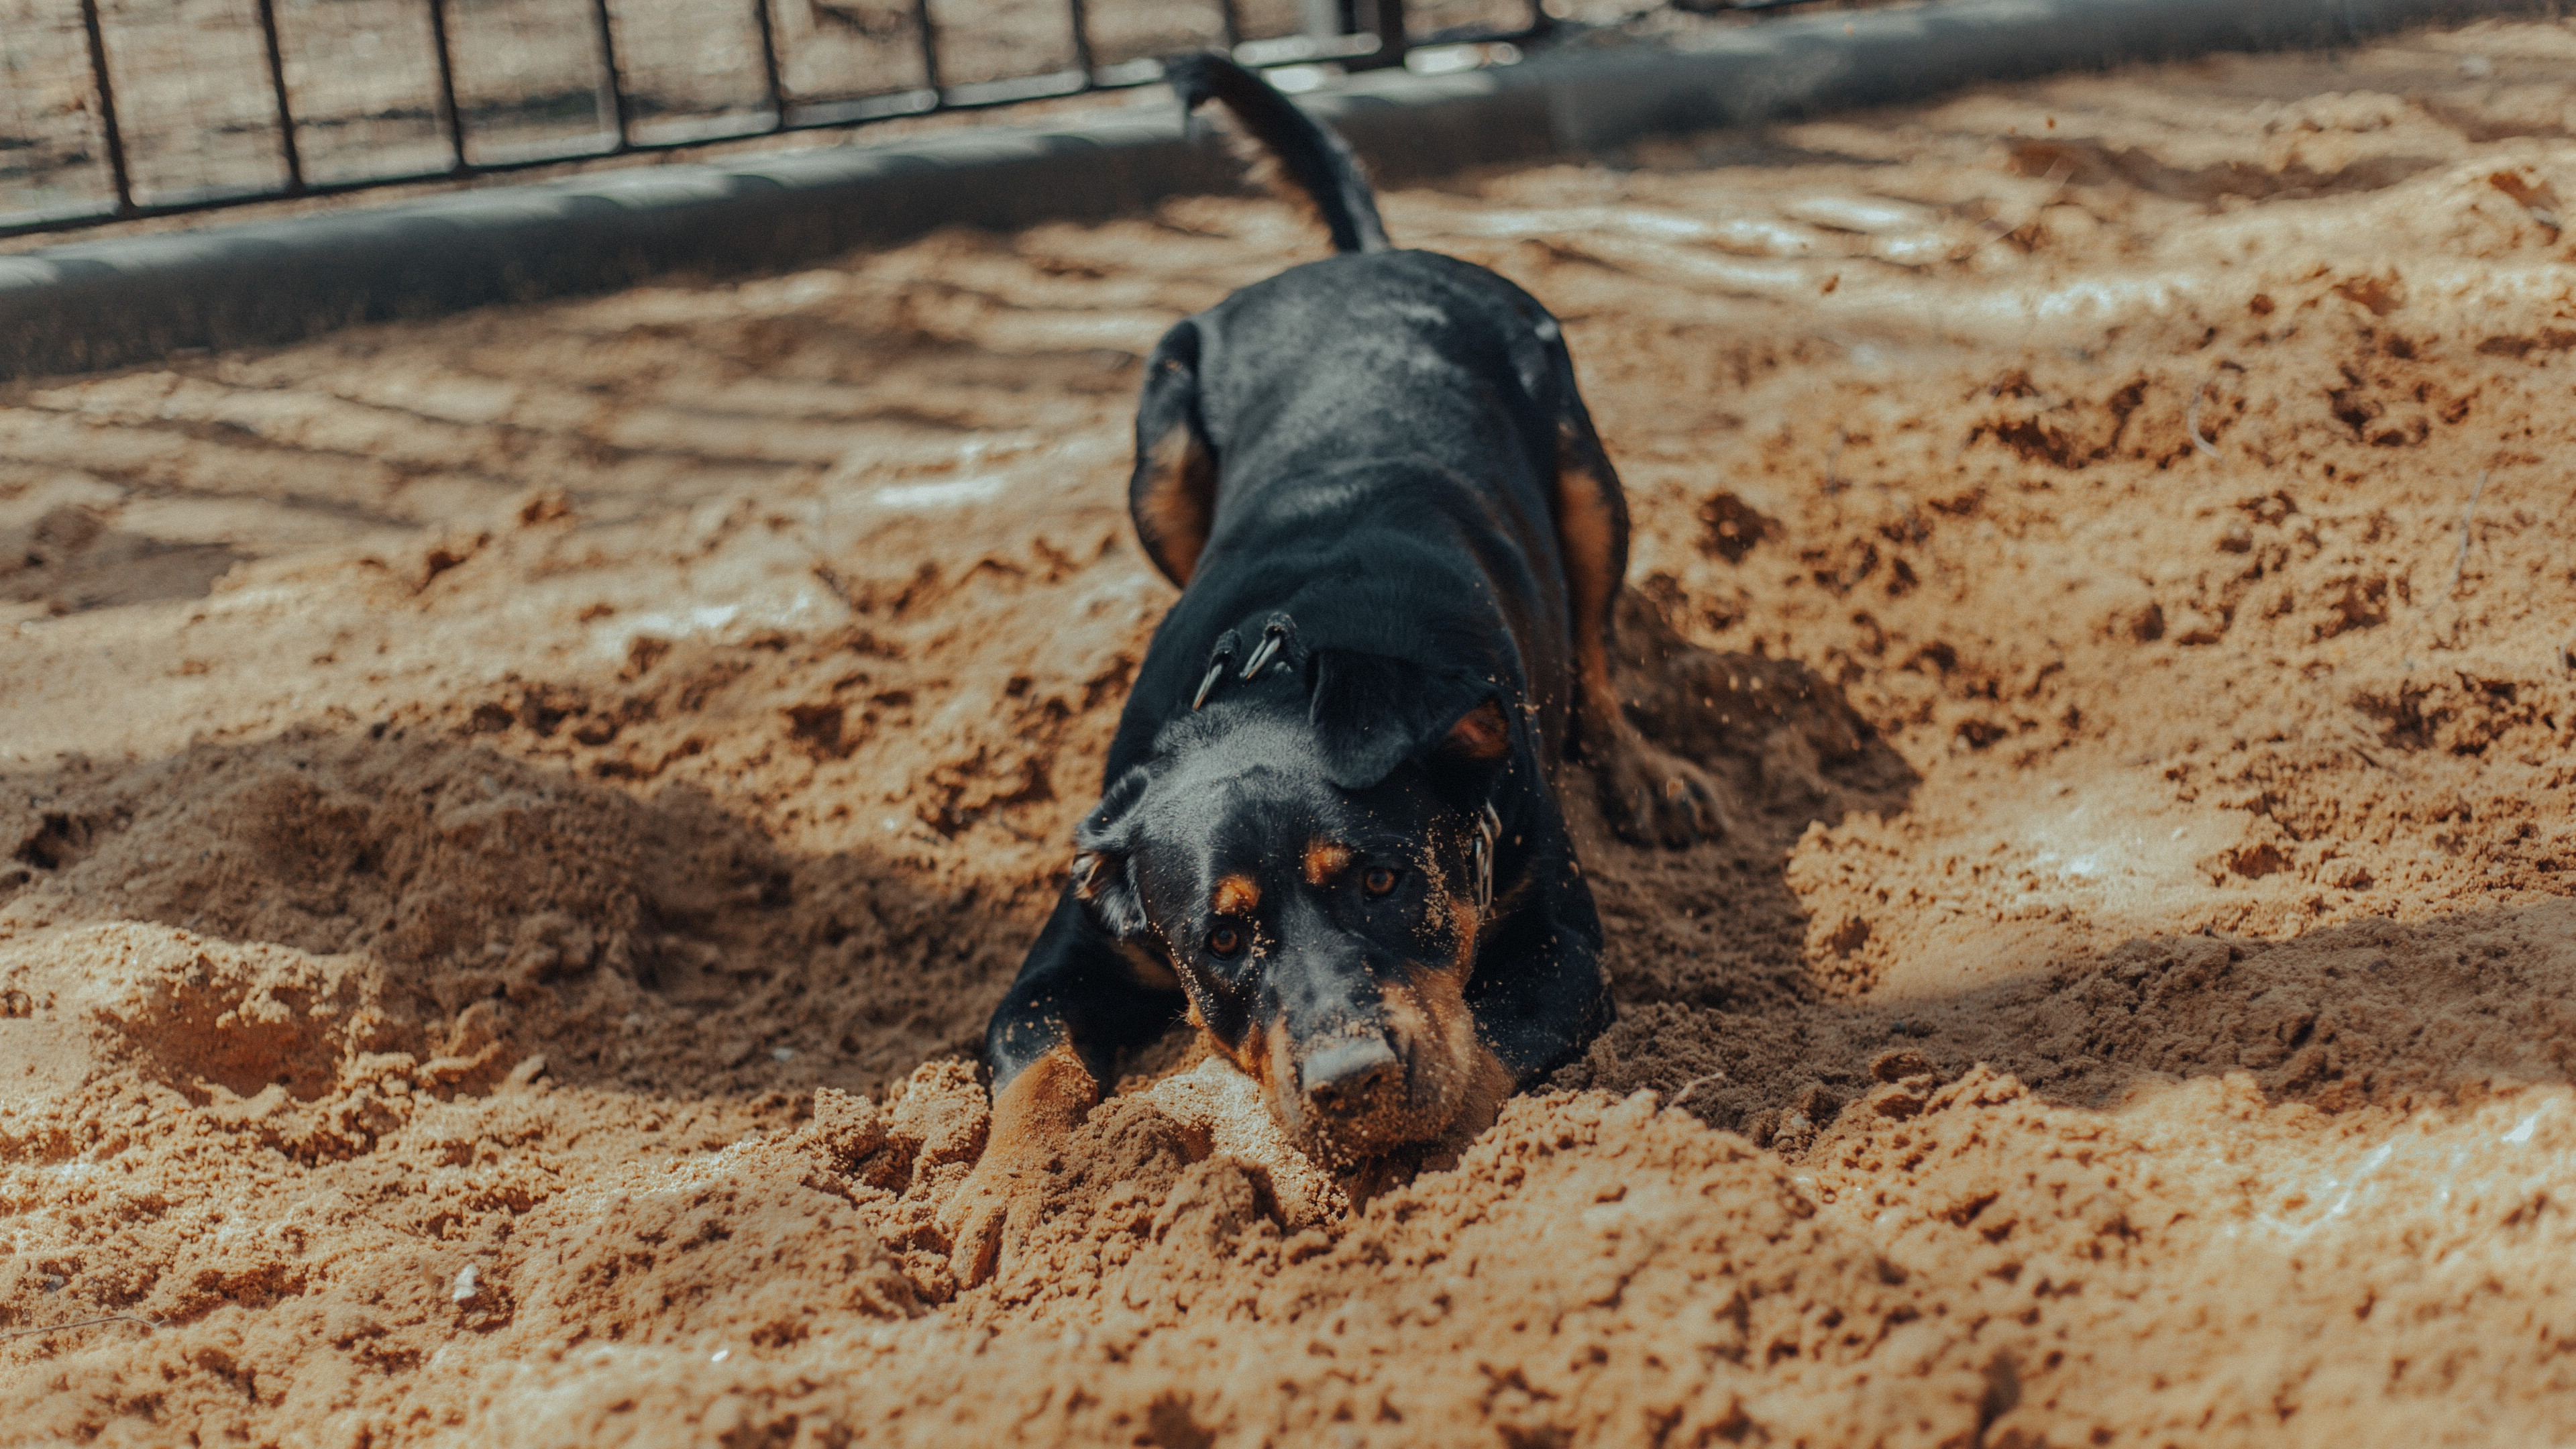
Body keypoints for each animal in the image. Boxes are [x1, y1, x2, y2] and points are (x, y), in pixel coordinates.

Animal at [937, 56, 1721, 1273]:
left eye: (1386, 882)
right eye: (1220, 938)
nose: (1351, 1081)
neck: (1283, 668)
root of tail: (1363, 261)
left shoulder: (1561, 952)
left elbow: (1475, 1058)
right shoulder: (1069, 954)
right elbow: (1039, 1065)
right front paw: (1014, 1192)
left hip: (1581, 457)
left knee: (1595, 637)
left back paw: (1646, 772)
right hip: (1159, 454)